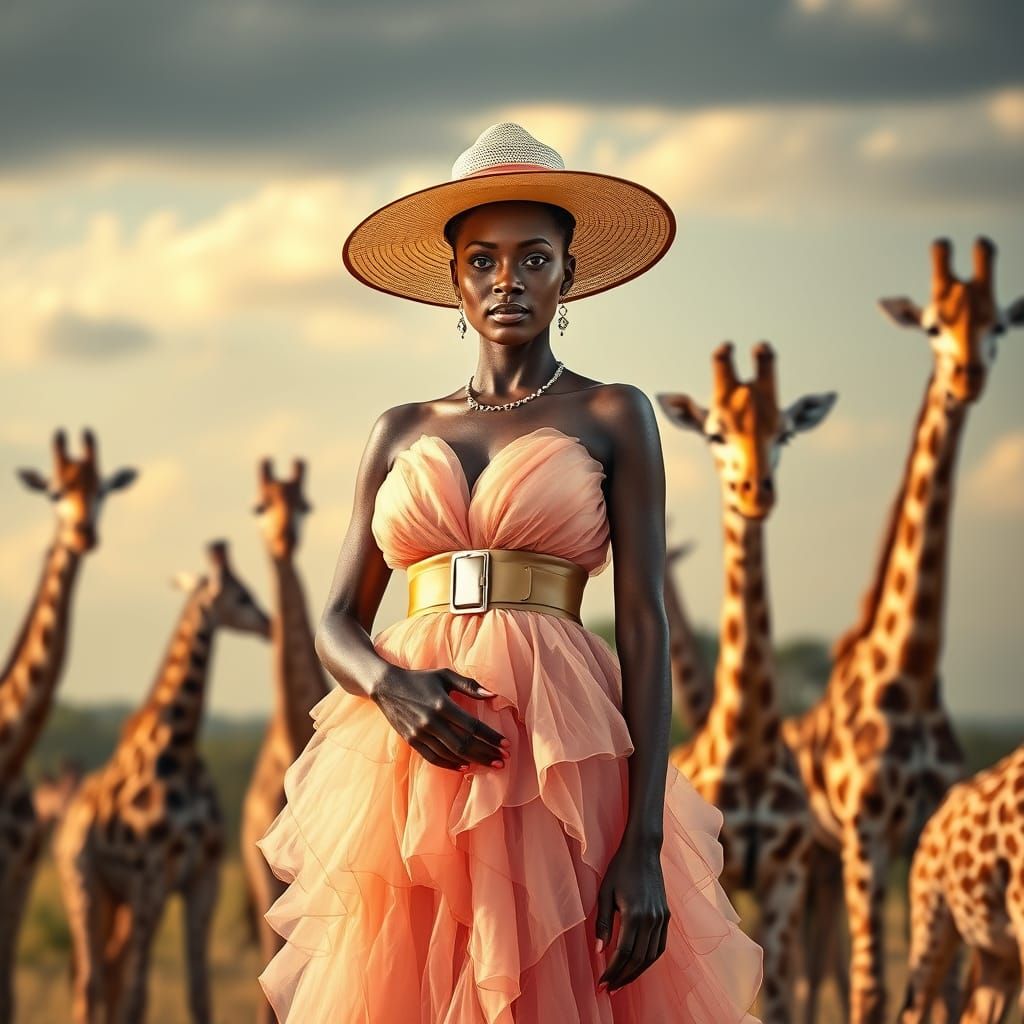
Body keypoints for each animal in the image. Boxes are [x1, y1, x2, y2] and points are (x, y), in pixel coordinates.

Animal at [53, 539, 271, 1024]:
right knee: (91, 979)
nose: (269, 625)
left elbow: (200, 993)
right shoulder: (152, 877)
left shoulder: (203, 879)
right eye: (242, 594)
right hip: (83, 884)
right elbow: (139, 998)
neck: (179, 746)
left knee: (109, 969)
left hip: (116, 897)